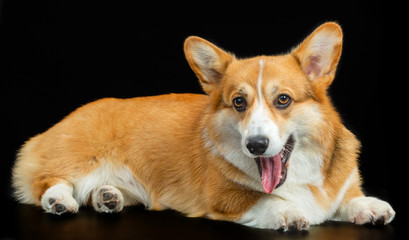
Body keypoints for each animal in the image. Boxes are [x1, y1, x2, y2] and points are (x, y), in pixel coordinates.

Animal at [12, 22, 394, 231]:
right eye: (238, 102)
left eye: (283, 99)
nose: (255, 145)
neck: (298, 172)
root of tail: (50, 129)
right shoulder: (223, 197)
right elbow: (264, 199)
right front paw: (288, 211)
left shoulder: (339, 187)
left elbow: (347, 199)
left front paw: (368, 207)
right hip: (79, 158)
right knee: (47, 180)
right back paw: (59, 201)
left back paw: (108, 197)